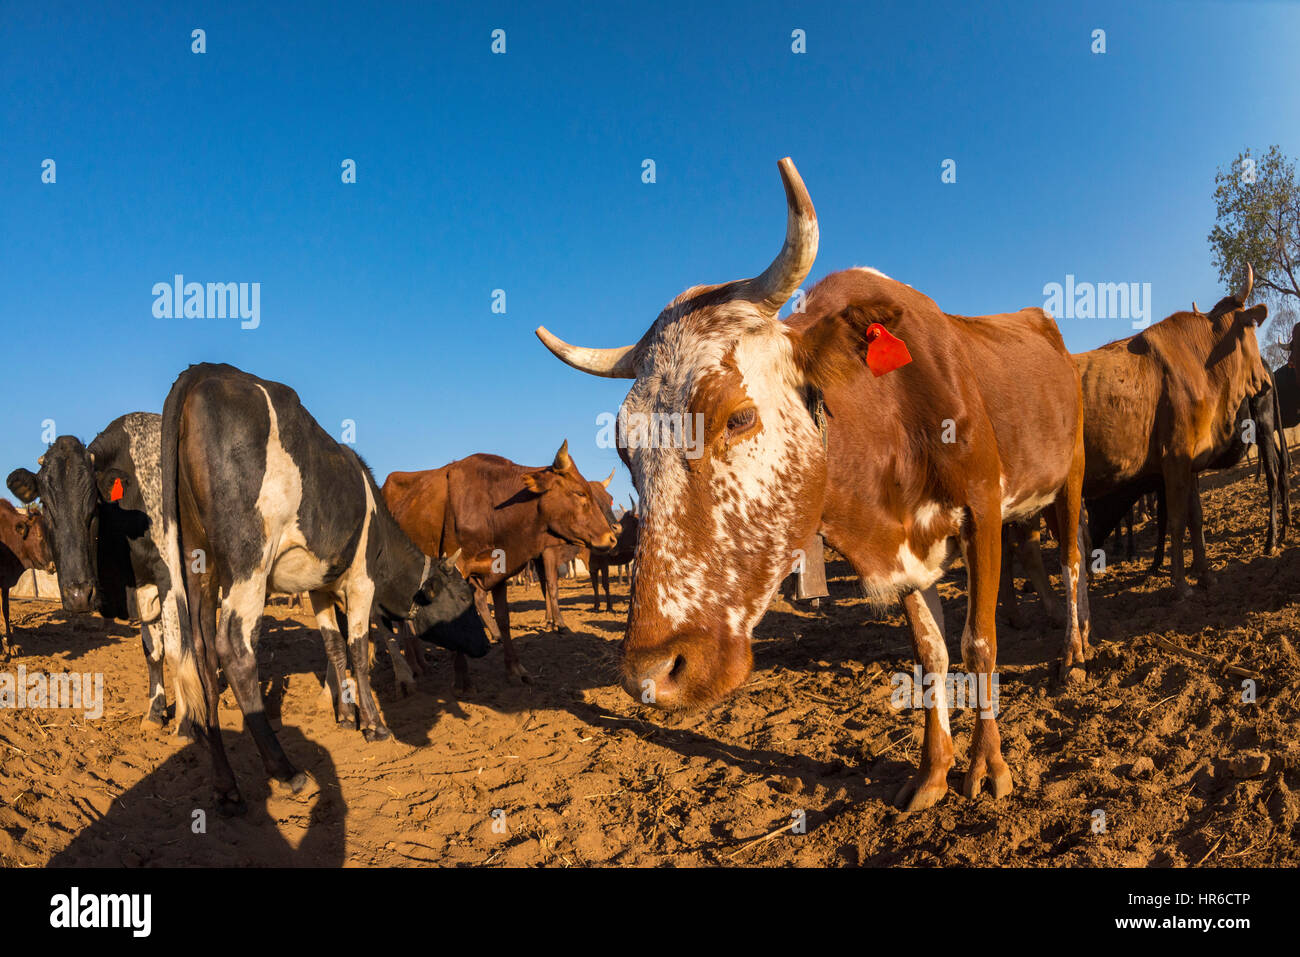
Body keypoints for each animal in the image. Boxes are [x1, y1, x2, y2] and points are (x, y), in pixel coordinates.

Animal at [6, 414, 195, 731]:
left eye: (94, 506)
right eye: (45, 505)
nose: (79, 595)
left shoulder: (173, 577)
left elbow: (181, 649)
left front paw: (188, 721)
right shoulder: (144, 587)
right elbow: (154, 650)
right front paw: (156, 711)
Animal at [159, 363, 483, 814]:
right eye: (465, 598)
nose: (485, 645)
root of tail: (205, 370)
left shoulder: (318, 588)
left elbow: (333, 646)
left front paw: (346, 717)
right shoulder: (362, 582)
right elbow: (358, 649)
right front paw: (373, 725)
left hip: (197, 567)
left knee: (204, 660)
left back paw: (226, 784)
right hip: (248, 561)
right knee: (235, 651)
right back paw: (286, 771)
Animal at [382, 444, 619, 691]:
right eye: (580, 493)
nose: (612, 537)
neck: (490, 507)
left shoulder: (500, 572)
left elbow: (505, 619)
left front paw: (515, 669)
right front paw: (462, 678)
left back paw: (421, 663)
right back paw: (411, 669)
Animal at [537, 157, 1091, 811]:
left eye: (738, 418)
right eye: (625, 448)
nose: (651, 674)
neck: (892, 414)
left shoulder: (981, 510)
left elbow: (979, 640)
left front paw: (987, 764)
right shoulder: (906, 554)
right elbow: (931, 653)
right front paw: (933, 771)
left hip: (1072, 475)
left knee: (1074, 559)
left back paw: (1076, 653)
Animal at [1075, 269, 1270, 597]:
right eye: (1253, 328)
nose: (1267, 381)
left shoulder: (1191, 461)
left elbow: (1196, 518)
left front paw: (1206, 575)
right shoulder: (1175, 460)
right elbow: (1177, 522)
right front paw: (1180, 585)